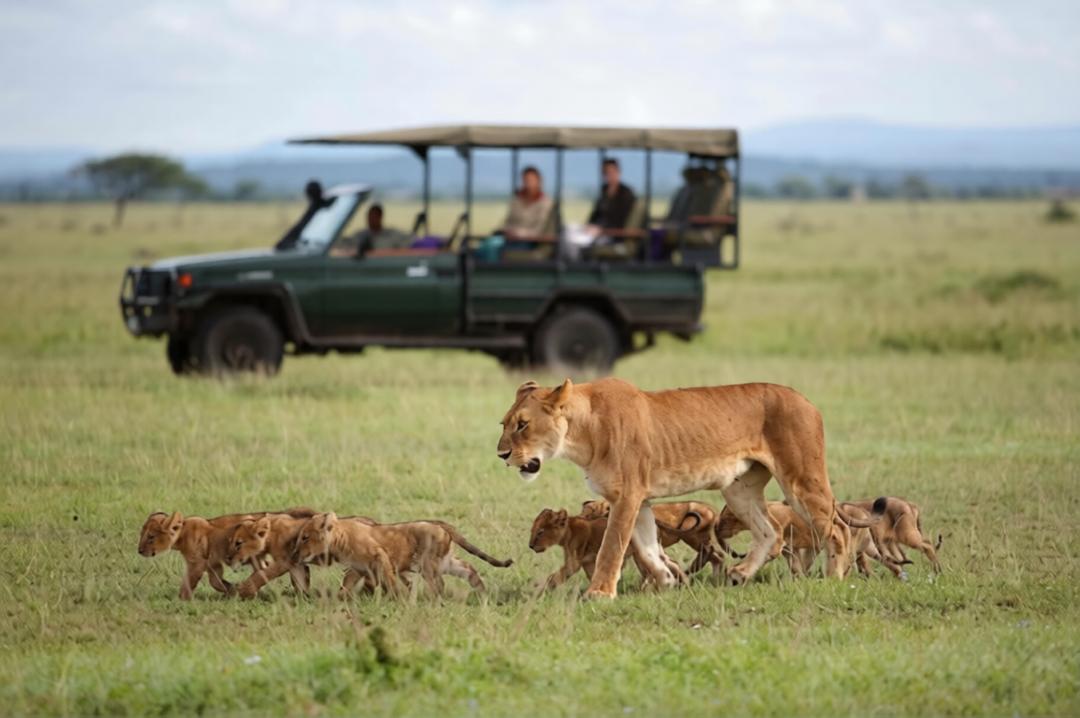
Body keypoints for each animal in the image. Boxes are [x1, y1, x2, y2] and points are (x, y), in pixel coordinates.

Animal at [294, 512, 512, 599]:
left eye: (305, 537)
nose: (295, 552)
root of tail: (442, 525)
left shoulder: (380, 556)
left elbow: (390, 581)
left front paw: (397, 599)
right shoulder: (356, 569)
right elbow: (345, 586)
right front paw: (341, 600)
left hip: (428, 564)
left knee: (439, 584)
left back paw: (434, 602)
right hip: (447, 562)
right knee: (469, 570)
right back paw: (482, 592)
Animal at [497, 378, 879, 598]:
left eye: (523, 425)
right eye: (504, 424)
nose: (501, 454)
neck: (580, 434)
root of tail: (806, 399)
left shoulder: (627, 496)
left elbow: (612, 547)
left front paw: (600, 593)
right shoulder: (641, 499)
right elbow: (647, 548)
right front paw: (667, 582)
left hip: (801, 478)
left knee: (837, 528)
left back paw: (833, 578)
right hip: (738, 489)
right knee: (771, 531)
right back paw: (740, 575)